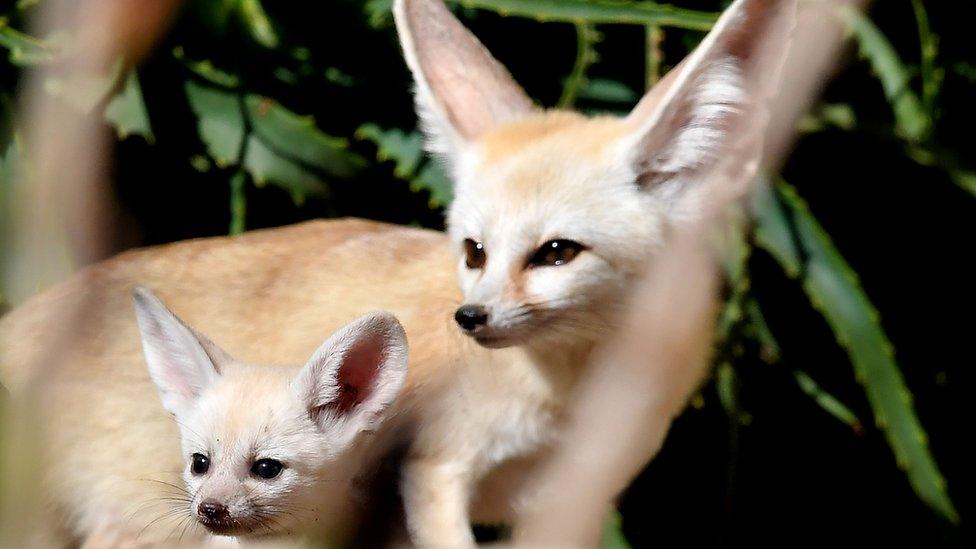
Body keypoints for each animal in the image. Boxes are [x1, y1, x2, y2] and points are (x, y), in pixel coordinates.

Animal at [0, 0, 792, 540]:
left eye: (556, 253)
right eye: (473, 250)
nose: (469, 317)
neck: (566, 401)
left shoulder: (571, 497)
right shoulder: (433, 473)